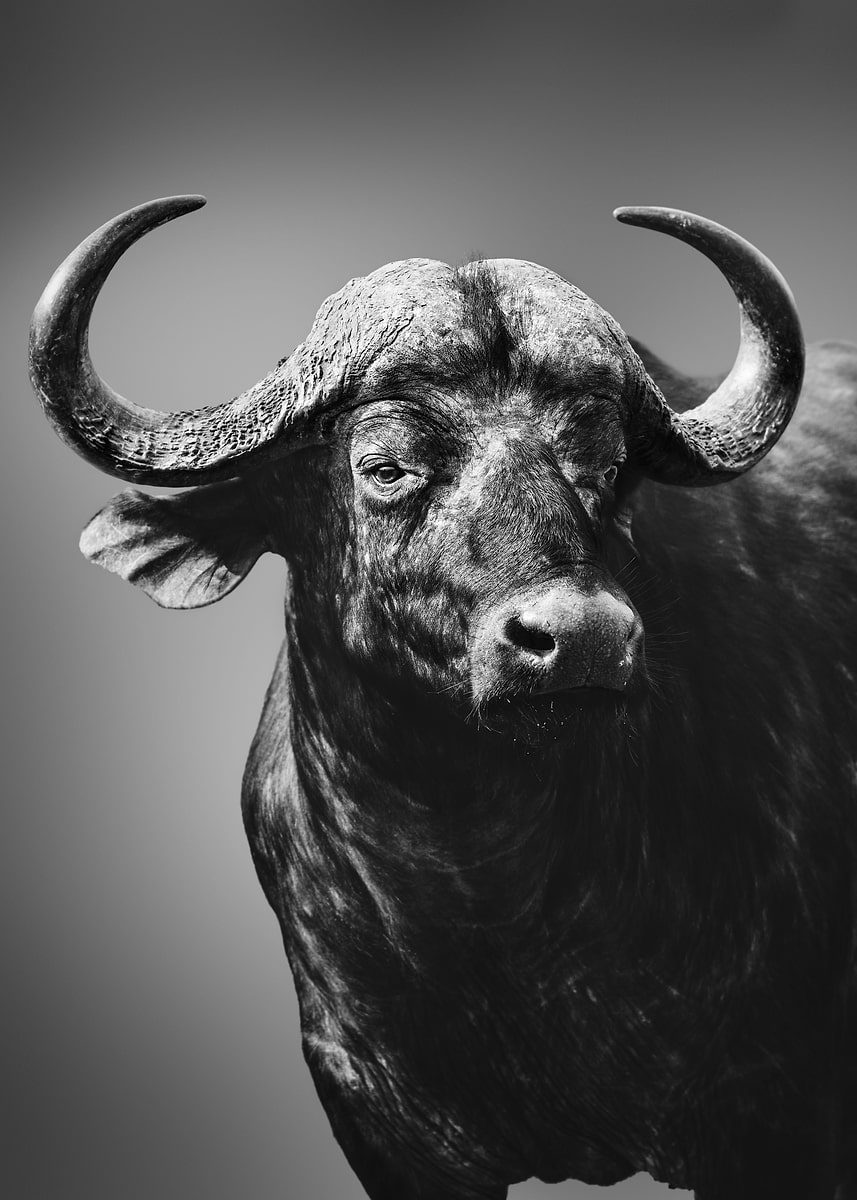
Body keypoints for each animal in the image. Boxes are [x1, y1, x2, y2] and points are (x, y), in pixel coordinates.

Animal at [29, 196, 857, 1200]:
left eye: (604, 469)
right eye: (387, 466)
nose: (582, 637)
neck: (482, 889)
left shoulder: (775, 1110)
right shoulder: (375, 1112)